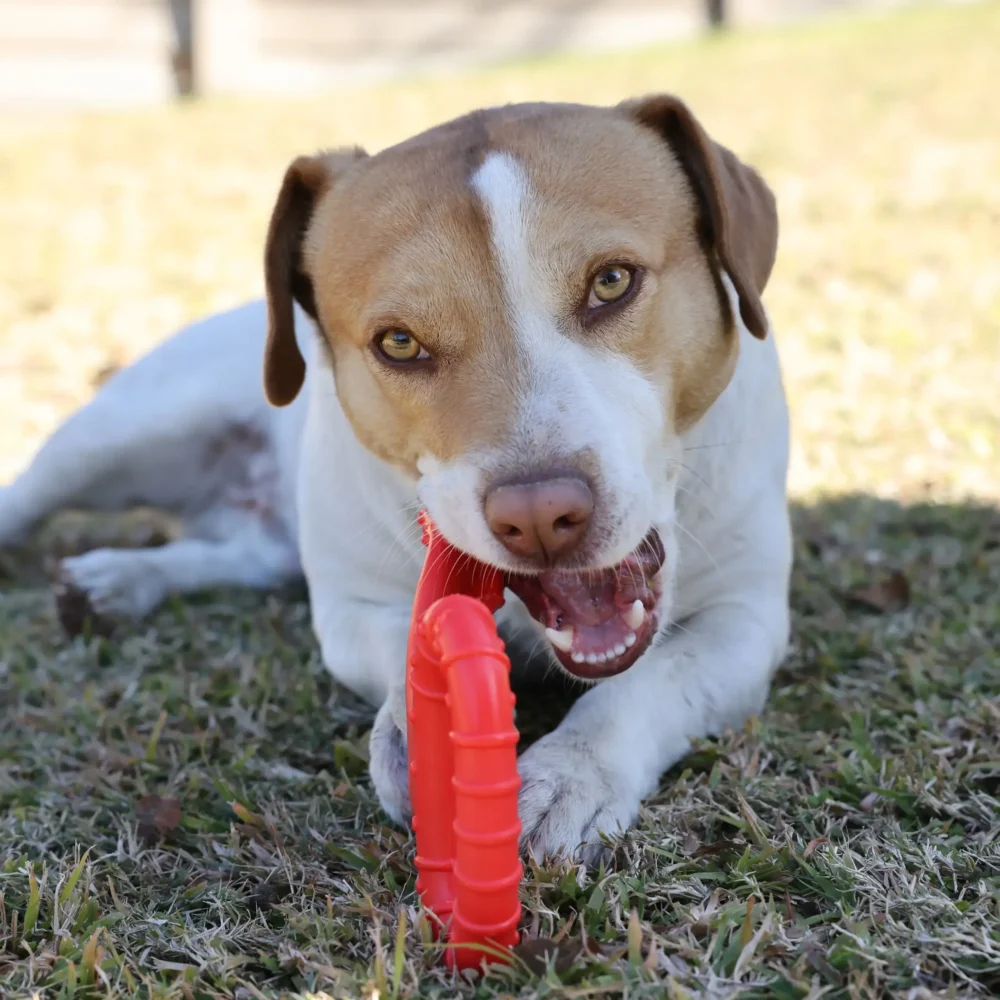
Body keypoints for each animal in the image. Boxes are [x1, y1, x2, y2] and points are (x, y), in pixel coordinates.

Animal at [1, 97, 796, 864]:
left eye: (611, 281)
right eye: (400, 343)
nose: (539, 516)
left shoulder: (744, 620)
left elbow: (644, 686)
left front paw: (572, 772)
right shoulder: (350, 608)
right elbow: (395, 652)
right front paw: (417, 736)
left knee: (245, 557)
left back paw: (115, 582)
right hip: (118, 435)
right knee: (34, 494)